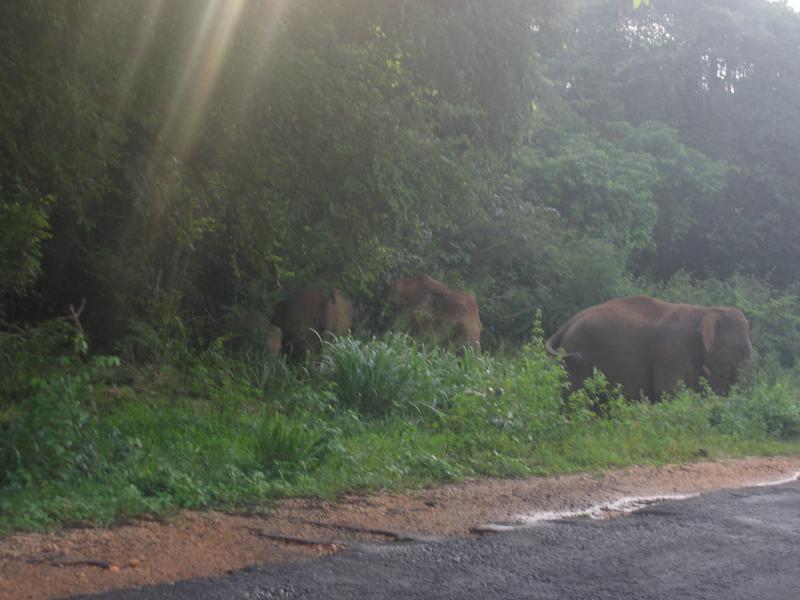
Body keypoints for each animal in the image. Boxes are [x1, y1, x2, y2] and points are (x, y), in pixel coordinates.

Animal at [548, 296, 752, 400]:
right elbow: (668, 391)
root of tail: (568, 323)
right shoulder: (671, 350)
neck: (705, 310)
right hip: (577, 354)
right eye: (740, 349)